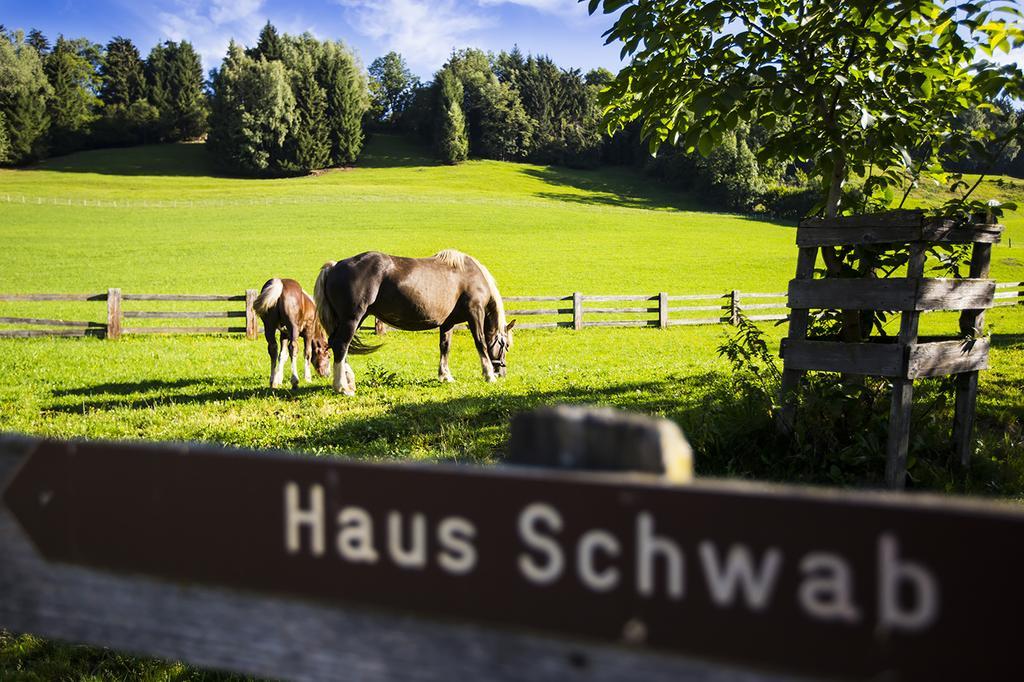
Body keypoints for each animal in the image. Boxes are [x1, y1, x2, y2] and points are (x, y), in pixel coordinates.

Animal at [311, 249, 516, 393]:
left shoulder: (448, 323)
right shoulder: (475, 313)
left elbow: (445, 347)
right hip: (352, 318)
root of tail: (333, 266)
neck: (471, 275)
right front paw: (489, 375)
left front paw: (445, 376)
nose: (502, 372)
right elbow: (480, 343)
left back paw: (348, 381)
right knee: (341, 345)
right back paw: (342, 387)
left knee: (338, 345)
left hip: (352, 319)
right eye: (505, 345)